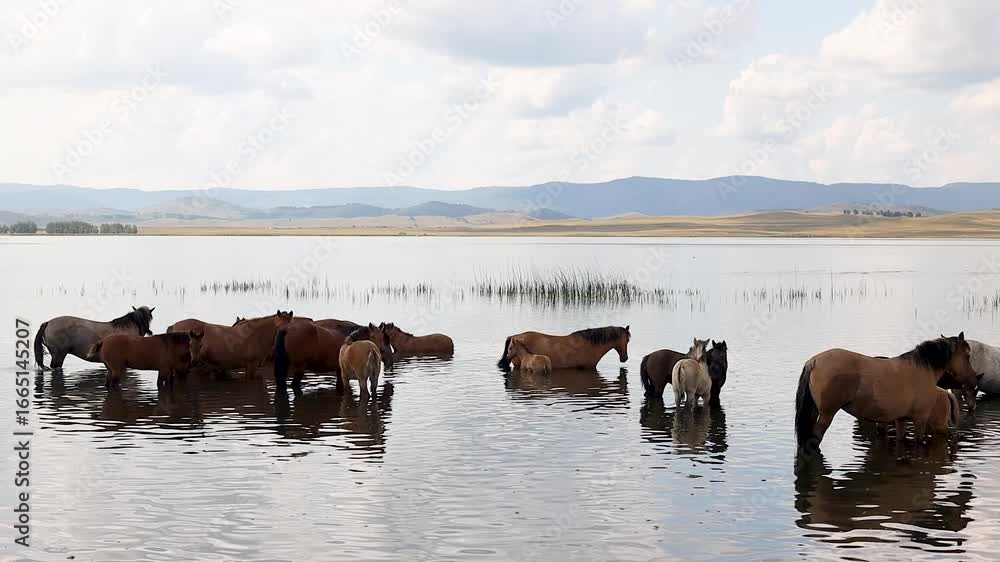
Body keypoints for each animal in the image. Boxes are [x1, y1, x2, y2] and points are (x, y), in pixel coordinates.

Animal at [795, 333, 978, 453]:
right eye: (967, 355)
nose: (973, 380)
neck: (922, 369)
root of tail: (814, 361)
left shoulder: (901, 419)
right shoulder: (920, 420)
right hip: (826, 416)